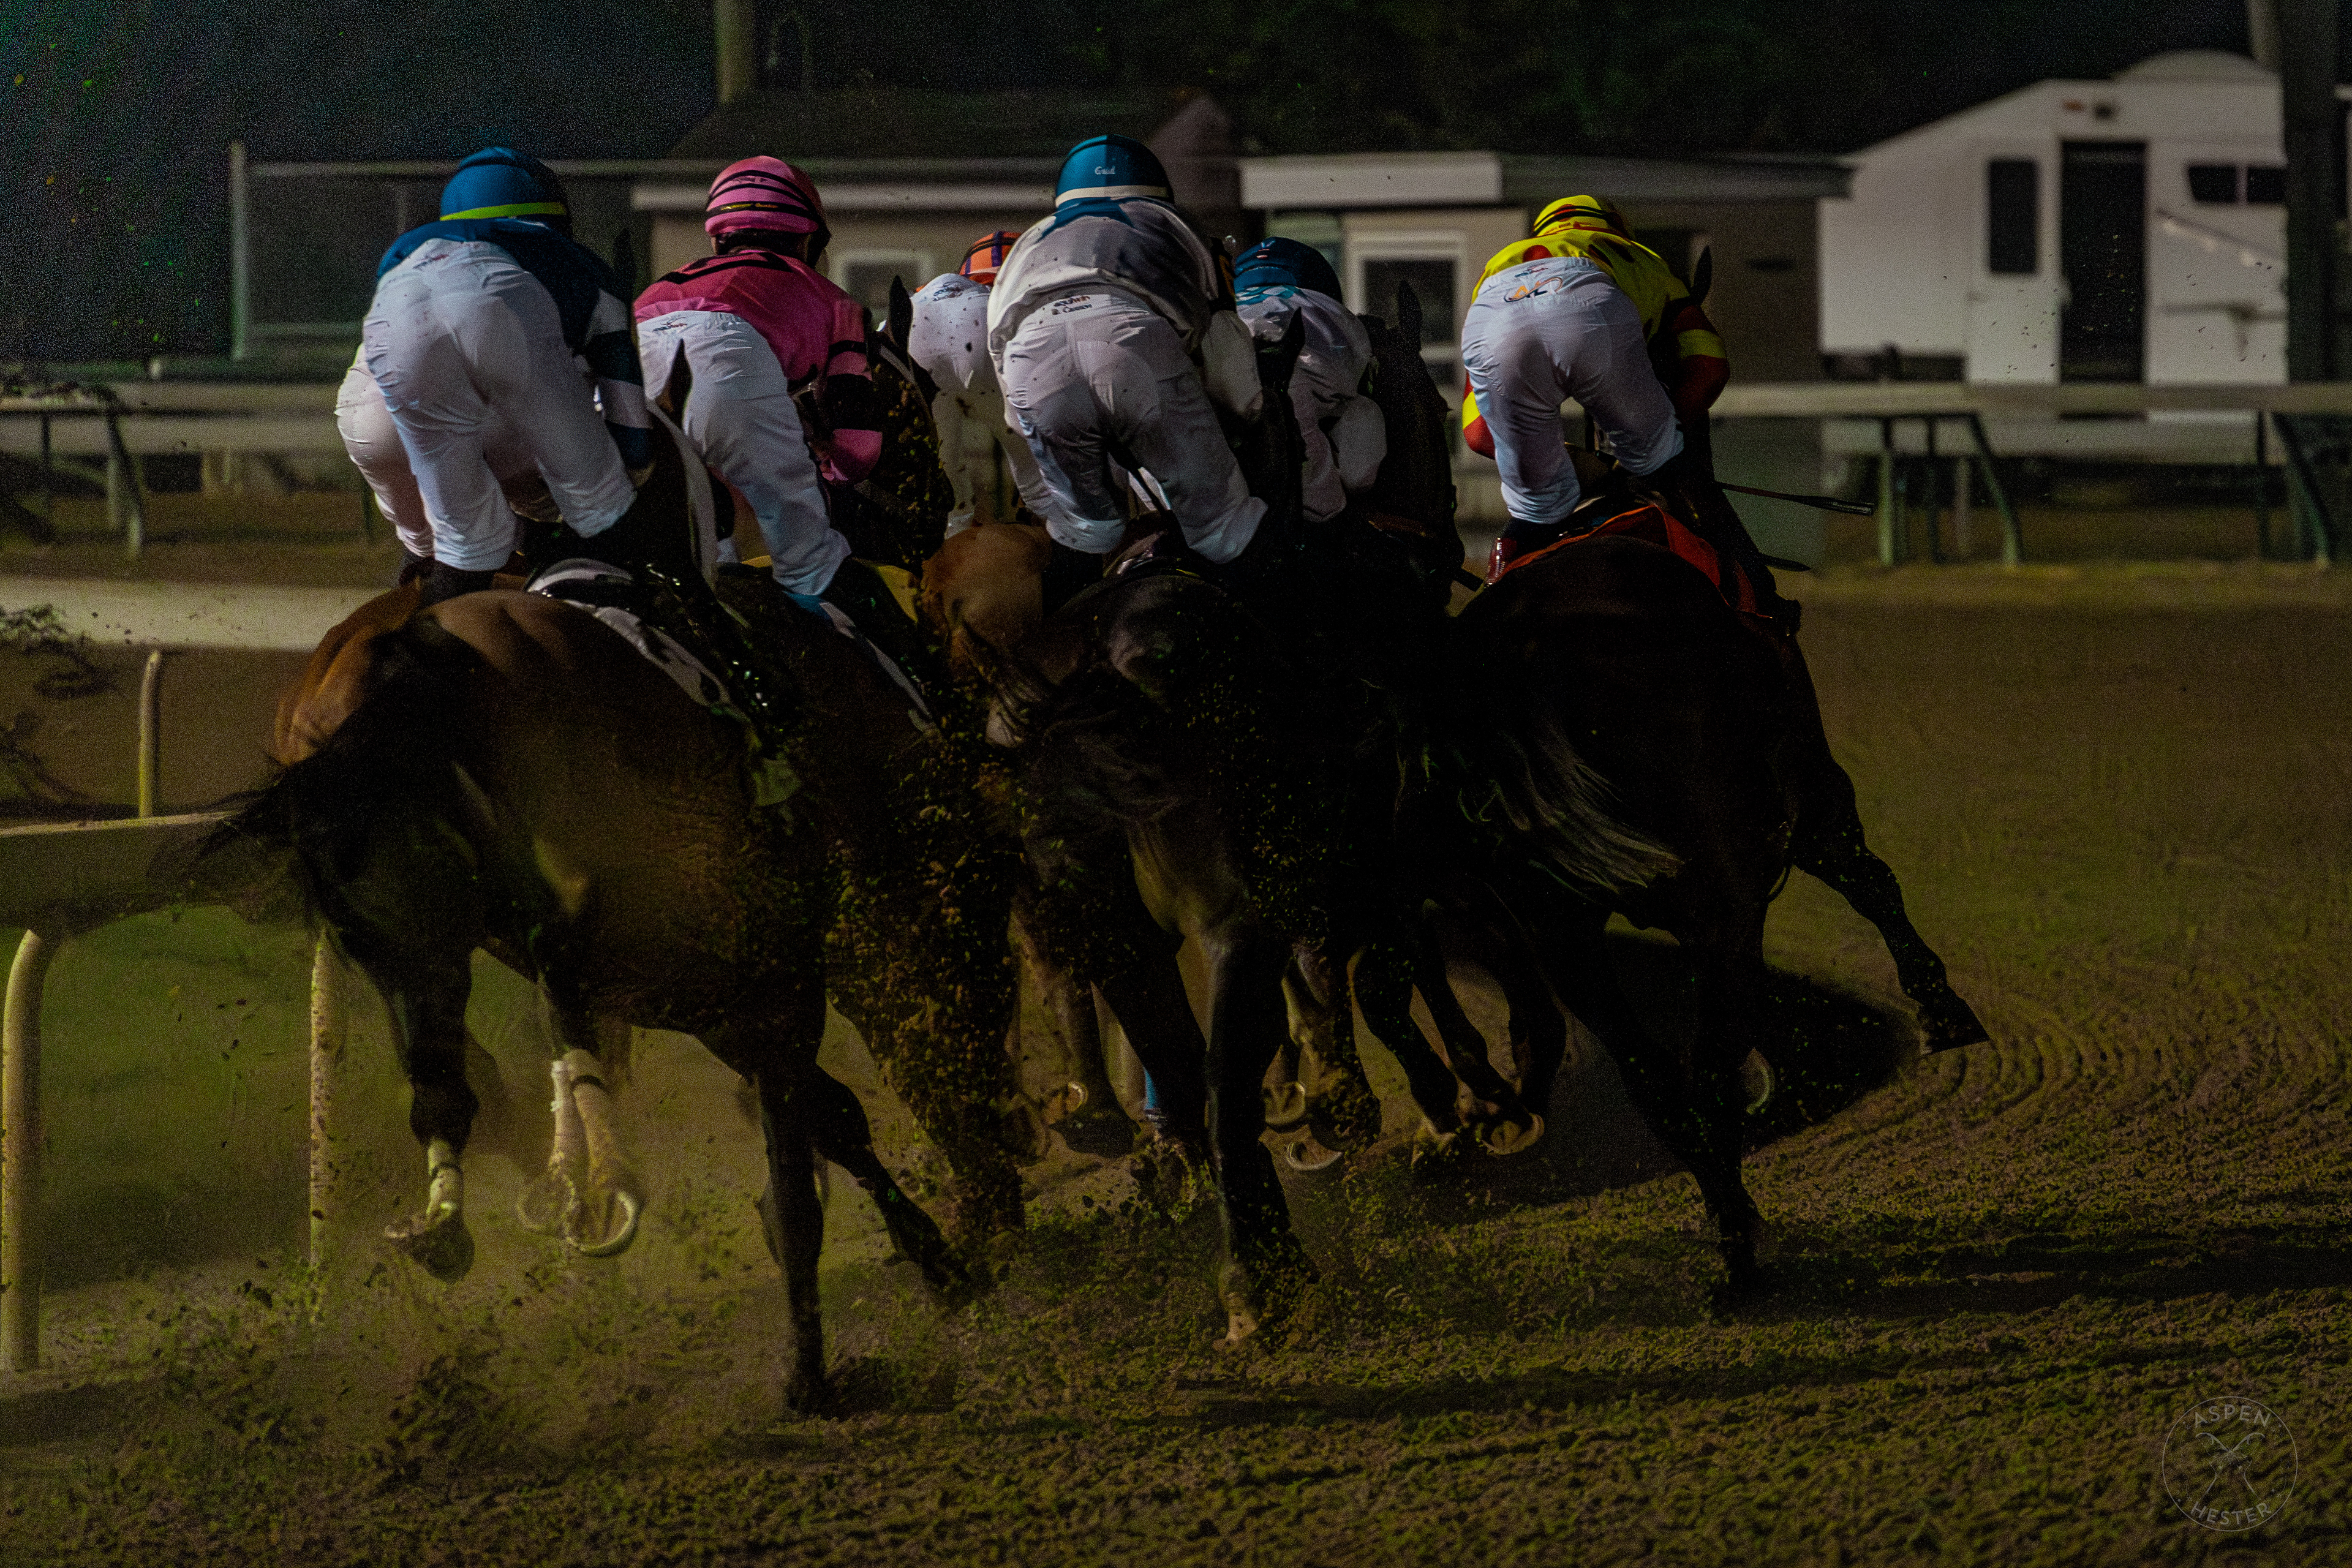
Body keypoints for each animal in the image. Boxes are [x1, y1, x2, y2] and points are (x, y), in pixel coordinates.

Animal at [211, 391, 1030, 1414]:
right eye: (902, 403)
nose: (932, 505)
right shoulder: (776, 959)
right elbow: (813, 1133)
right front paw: (849, 1329)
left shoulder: (714, 981)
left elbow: (822, 1113)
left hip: (420, 944)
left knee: (461, 1063)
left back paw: (480, 1200)